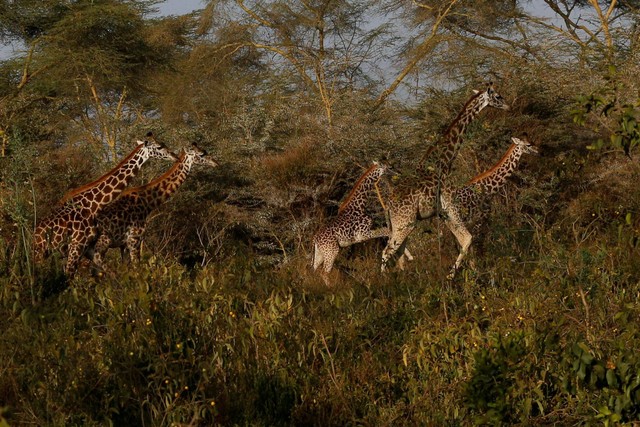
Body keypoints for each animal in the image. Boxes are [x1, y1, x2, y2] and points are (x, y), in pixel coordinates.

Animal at [33, 134, 176, 280]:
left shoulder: (87, 249)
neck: (92, 205)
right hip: (42, 253)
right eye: (159, 146)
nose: (174, 156)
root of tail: (35, 234)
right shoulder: (77, 246)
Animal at [87, 143, 219, 268]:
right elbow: (136, 267)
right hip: (101, 244)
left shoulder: (123, 244)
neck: (147, 202)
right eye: (202, 154)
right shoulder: (134, 238)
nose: (216, 162)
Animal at [380, 82, 510, 272]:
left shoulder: (443, 212)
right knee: (387, 251)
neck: (445, 161)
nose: (508, 106)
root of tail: (388, 206)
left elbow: (463, 240)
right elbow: (467, 239)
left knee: (398, 253)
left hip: (401, 225)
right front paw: (454, 274)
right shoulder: (449, 204)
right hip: (404, 223)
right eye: (498, 96)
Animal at [440, 135, 540, 280]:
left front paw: (474, 272)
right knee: (467, 238)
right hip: (455, 217)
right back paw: (451, 275)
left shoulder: (473, 222)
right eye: (528, 145)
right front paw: (477, 274)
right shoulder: (483, 217)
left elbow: (472, 247)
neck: (490, 188)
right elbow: (476, 244)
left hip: (449, 221)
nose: (538, 151)